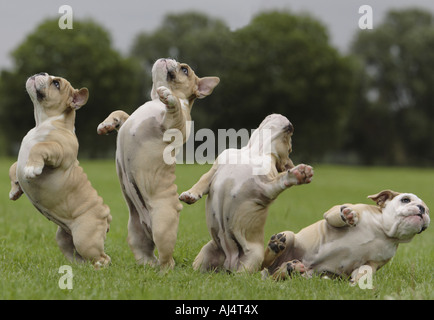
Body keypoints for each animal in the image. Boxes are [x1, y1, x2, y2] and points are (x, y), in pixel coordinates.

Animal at [8, 73, 112, 270]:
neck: (44, 121)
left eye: (56, 84)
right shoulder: (22, 156)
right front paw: (15, 189)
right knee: (76, 255)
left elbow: (39, 148)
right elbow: (13, 167)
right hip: (63, 238)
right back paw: (78, 268)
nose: (39, 74)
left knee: (102, 258)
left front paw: (32, 169)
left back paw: (98, 269)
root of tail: (106, 214)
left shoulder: (58, 151)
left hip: (85, 238)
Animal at [96, 58, 219, 268]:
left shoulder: (177, 125)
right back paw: (147, 265)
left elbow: (175, 107)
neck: (154, 100)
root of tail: (148, 225)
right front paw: (107, 124)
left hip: (162, 225)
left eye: (184, 70)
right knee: (146, 254)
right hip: (134, 231)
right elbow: (120, 112)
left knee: (166, 260)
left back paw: (163, 269)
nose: (168, 58)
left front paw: (169, 95)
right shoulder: (128, 119)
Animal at [178, 115, 314, 272]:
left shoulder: (266, 187)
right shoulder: (214, 170)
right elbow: (202, 181)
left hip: (252, 258)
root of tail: (229, 263)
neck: (255, 150)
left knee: (256, 269)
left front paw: (297, 174)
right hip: (207, 252)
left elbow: (280, 180)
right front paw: (190, 194)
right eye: (290, 146)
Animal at [262, 189, 430, 282]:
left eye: (428, 210)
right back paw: (276, 245)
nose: (422, 209)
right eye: (405, 200)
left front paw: (357, 282)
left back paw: (291, 268)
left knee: (278, 275)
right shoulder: (334, 213)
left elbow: (365, 271)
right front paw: (348, 215)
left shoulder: (372, 262)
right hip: (288, 236)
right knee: (266, 262)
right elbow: (337, 214)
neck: (383, 232)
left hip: (303, 275)